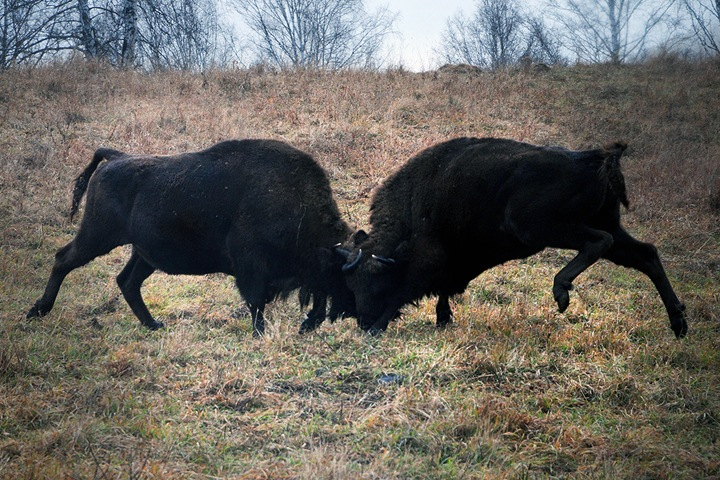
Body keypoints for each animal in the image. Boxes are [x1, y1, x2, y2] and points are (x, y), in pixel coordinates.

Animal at [26, 138, 358, 334]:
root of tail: (116, 157)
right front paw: (260, 333)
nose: (355, 314)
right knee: (63, 260)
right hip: (97, 237)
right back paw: (37, 311)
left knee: (127, 281)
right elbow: (256, 303)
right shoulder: (252, 268)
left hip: (143, 254)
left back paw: (154, 324)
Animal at [340, 137, 688, 340]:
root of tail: (592, 159)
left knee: (599, 242)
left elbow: (409, 288)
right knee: (646, 254)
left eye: (372, 279)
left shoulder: (427, 259)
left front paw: (380, 325)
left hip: (544, 228)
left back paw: (561, 291)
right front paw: (443, 319)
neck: (414, 205)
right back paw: (679, 323)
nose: (363, 322)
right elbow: (444, 290)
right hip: (608, 225)